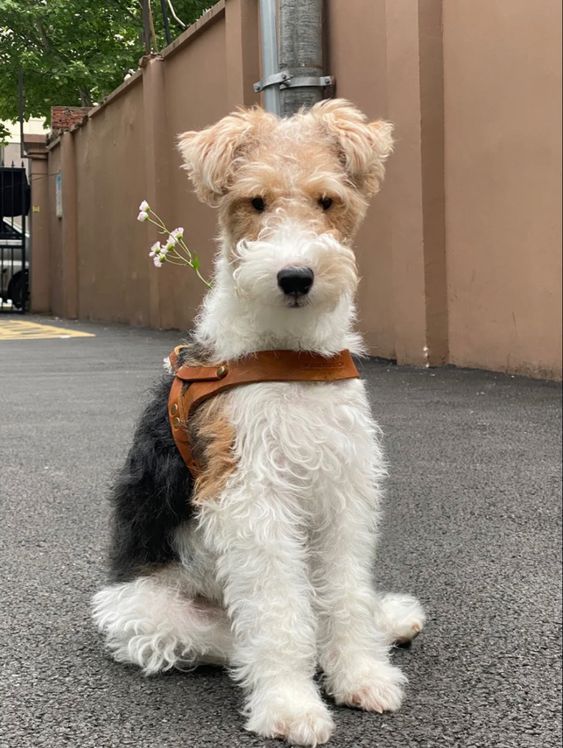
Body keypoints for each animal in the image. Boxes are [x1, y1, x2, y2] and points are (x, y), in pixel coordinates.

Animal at [93, 98, 428, 744]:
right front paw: (291, 707)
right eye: (255, 202)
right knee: (237, 639)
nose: (295, 277)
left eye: (327, 200)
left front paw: (362, 675)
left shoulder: (343, 489)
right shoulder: (251, 496)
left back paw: (391, 620)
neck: (290, 355)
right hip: (148, 610)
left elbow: (345, 593)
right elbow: (280, 614)